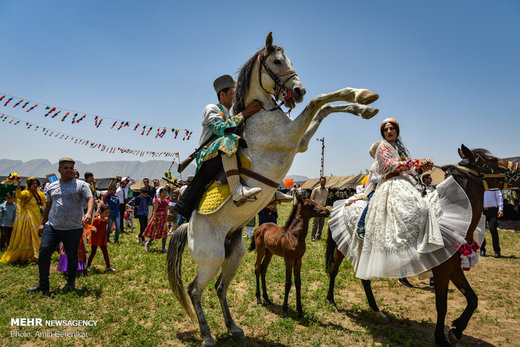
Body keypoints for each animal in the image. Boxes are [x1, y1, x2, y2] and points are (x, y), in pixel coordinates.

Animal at [169, 32, 380, 346]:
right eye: (277, 61)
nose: (299, 90)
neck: (260, 114)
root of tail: (187, 227)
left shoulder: (300, 141)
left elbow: (326, 108)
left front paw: (364, 103)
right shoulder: (291, 137)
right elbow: (320, 101)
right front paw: (361, 98)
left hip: (234, 254)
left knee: (220, 287)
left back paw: (233, 326)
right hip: (211, 259)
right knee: (195, 290)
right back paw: (207, 335)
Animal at [322, 145, 516, 347]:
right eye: (492, 159)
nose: (516, 168)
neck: (452, 213)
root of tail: (341, 203)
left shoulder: (454, 267)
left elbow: (472, 299)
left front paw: (456, 330)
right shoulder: (442, 269)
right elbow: (442, 305)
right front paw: (441, 337)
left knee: (364, 279)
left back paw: (376, 310)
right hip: (340, 247)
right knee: (334, 270)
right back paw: (332, 300)